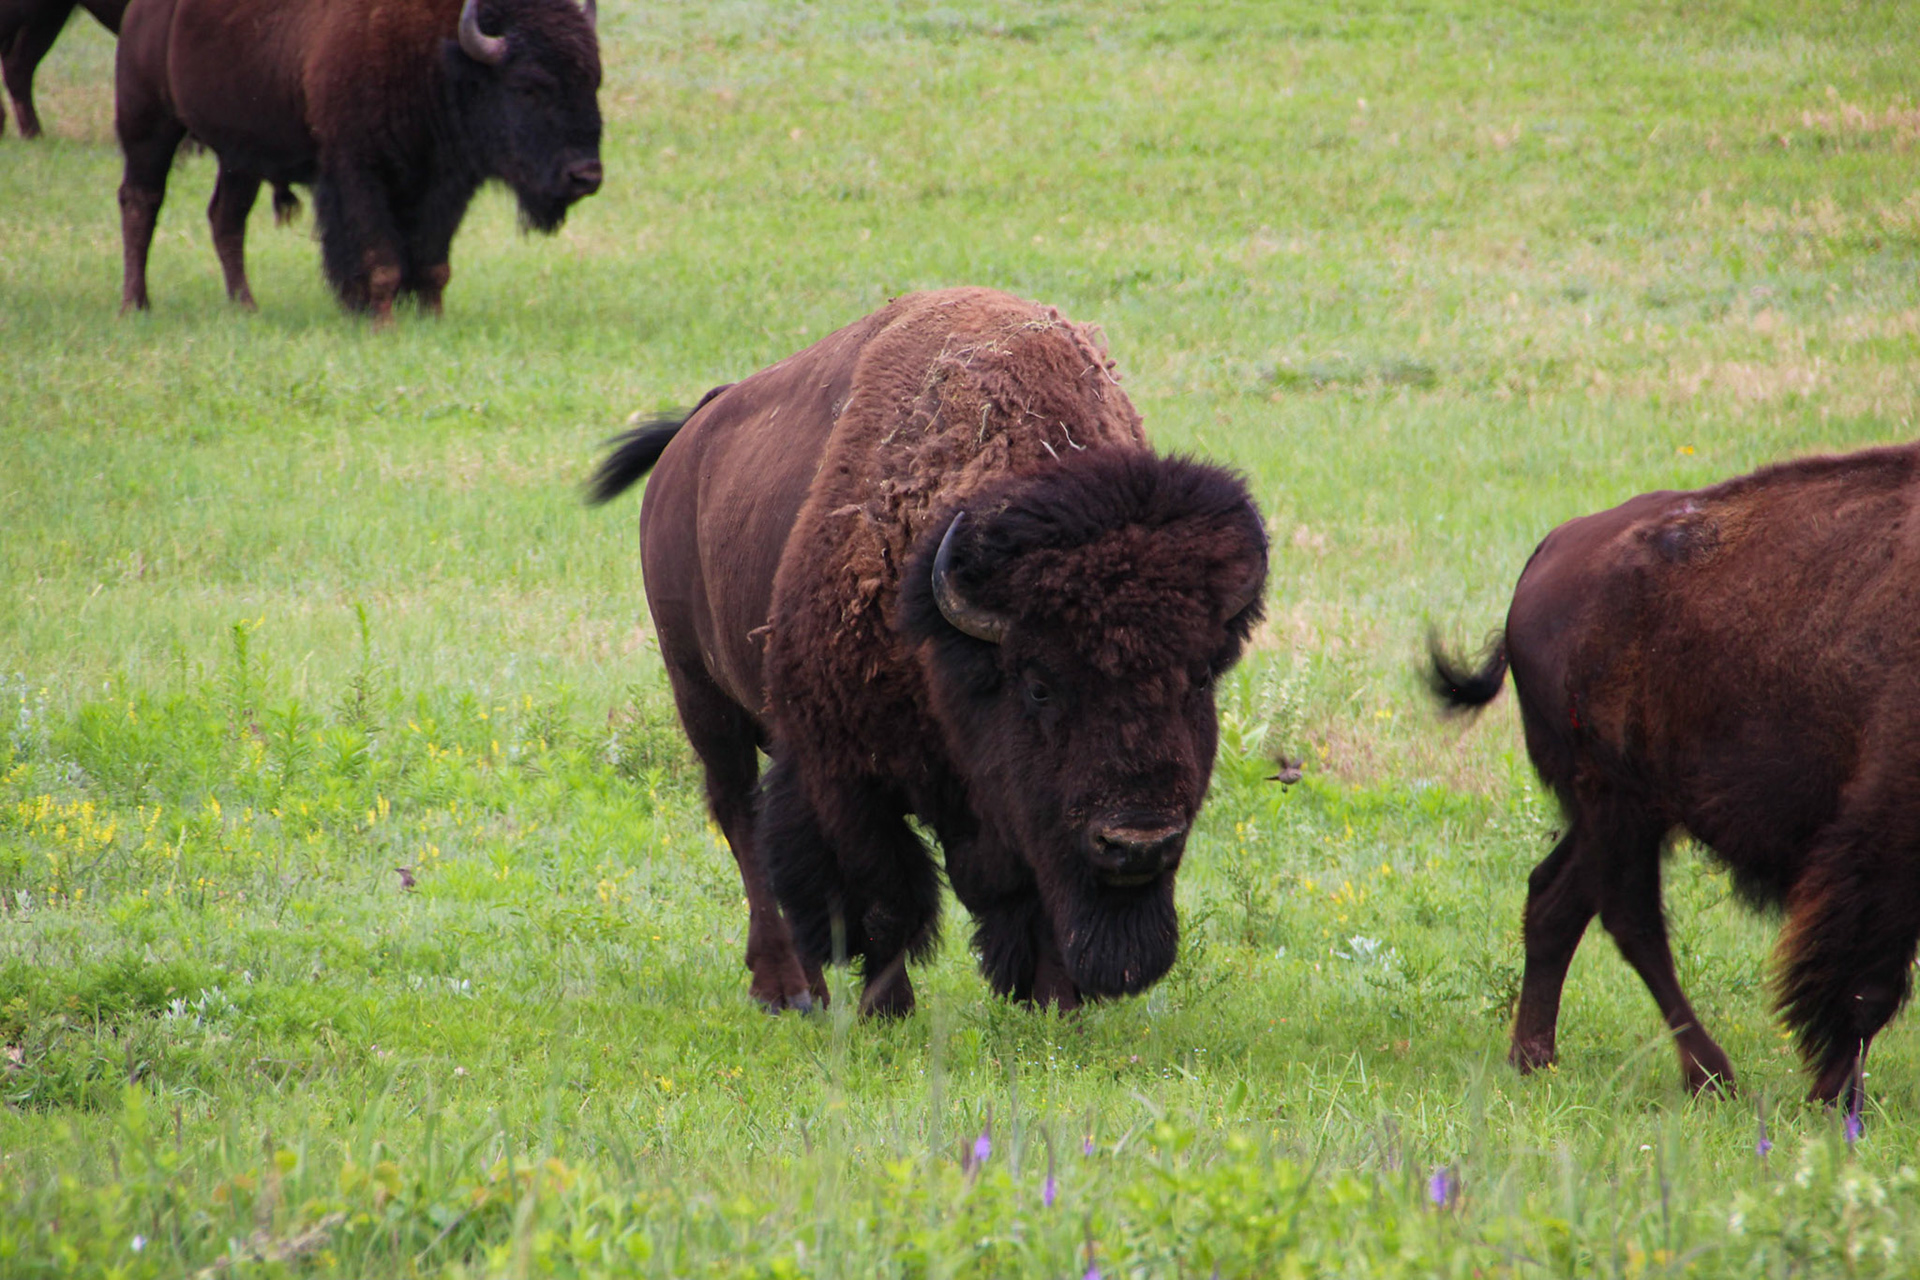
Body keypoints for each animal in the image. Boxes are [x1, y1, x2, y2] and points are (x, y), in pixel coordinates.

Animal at [115, 0, 602, 320]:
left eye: (593, 81)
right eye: (529, 86)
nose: (586, 176)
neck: (441, 51)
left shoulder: (445, 185)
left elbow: (433, 262)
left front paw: (431, 318)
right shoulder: (358, 174)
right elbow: (379, 258)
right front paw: (381, 320)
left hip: (241, 157)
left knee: (226, 218)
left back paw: (245, 307)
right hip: (149, 123)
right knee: (141, 201)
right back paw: (136, 305)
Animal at [591, 288, 1270, 1016]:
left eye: (1198, 678)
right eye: (1038, 684)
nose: (1138, 842)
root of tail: (689, 440)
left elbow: (1031, 888)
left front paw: (1053, 1003)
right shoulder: (845, 773)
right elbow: (884, 897)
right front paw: (888, 1010)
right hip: (700, 693)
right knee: (742, 819)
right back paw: (788, 990)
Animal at [1430, 442, 1920, 1105]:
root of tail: (1551, 550)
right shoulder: (1882, 836)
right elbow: (1865, 983)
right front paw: (1837, 1097)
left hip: (1623, 810)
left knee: (1558, 899)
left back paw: (1535, 1058)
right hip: (1618, 802)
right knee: (1630, 920)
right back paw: (1712, 1076)